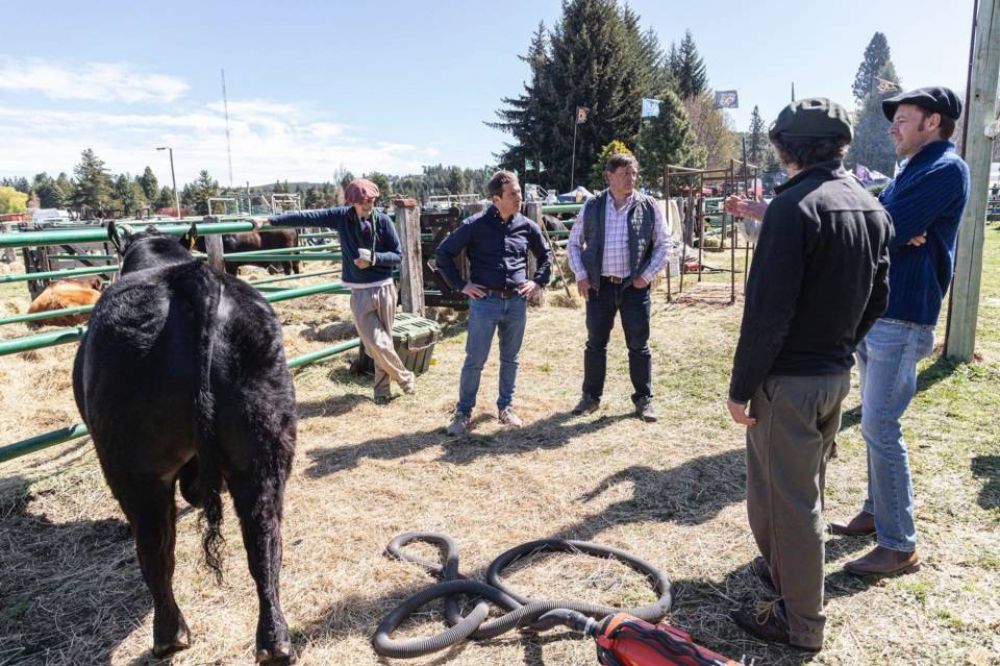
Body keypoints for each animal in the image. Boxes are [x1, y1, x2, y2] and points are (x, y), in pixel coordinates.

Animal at [73, 226, 296, 660]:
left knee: (156, 550)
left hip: (135, 470)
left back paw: (168, 636)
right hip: (264, 448)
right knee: (264, 541)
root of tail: (191, 278)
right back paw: (275, 643)